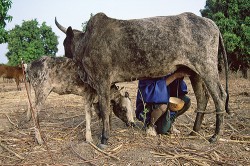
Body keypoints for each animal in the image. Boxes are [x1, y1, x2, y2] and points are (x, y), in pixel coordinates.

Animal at [55, 12, 229, 148]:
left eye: (64, 43)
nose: (66, 57)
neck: (86, 42)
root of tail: (211, 23)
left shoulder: (102, 80)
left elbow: (104, 110)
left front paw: (104, 139)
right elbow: (107, 110)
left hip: (207, 67)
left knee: (220, 97)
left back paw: (215, 136)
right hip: (195, 73)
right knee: (202, 99)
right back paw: (194, 132)